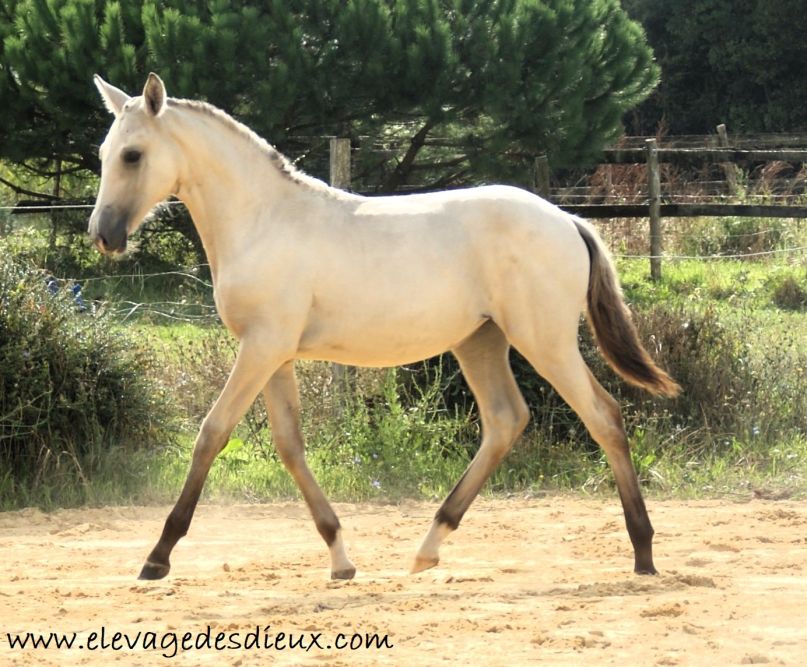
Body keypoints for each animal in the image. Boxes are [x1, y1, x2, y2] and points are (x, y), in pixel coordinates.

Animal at [89, 73, 679, 581]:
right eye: (102, 155)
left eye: (133, 155)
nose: (104, 235)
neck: (263, 220)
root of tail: (568, 220)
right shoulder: (275, 355)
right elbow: (290, 445)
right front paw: (340, 558)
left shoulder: (260, 349)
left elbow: (211, 434)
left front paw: (158, 556)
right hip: (480, 341)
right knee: (505, 420)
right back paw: (428, 547)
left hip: (545, 341)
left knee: (604, 416)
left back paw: (643, 552)